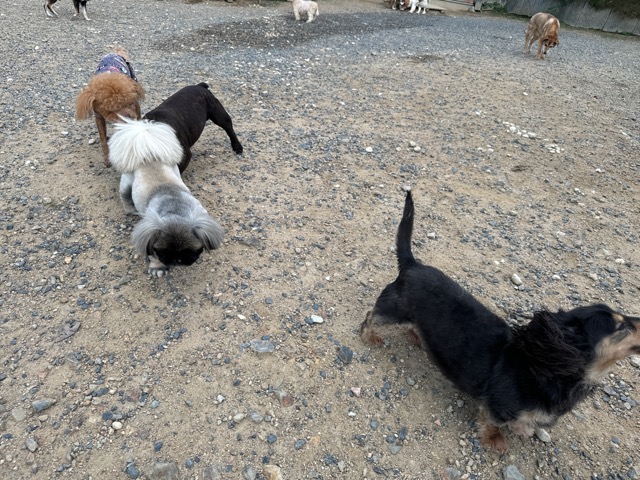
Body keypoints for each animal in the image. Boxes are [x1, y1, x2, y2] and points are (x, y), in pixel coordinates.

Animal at [107, 83, 243, 276]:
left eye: (193, 251)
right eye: (161, 252)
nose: (177, 261)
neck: (175, 207)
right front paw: (157, 267)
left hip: (219, 116)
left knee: (229, 129)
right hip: (127, 183)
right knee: (125, 196)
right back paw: (130, 209)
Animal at [360, 187, 640, 452]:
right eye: (622, 325)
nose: (638, 317)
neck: (549, 370)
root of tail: (413, 264)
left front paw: (522, 429)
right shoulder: (497, 407)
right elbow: (493, 423)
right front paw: (496, 441)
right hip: (393, 311)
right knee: (370, 317)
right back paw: (370, 336)